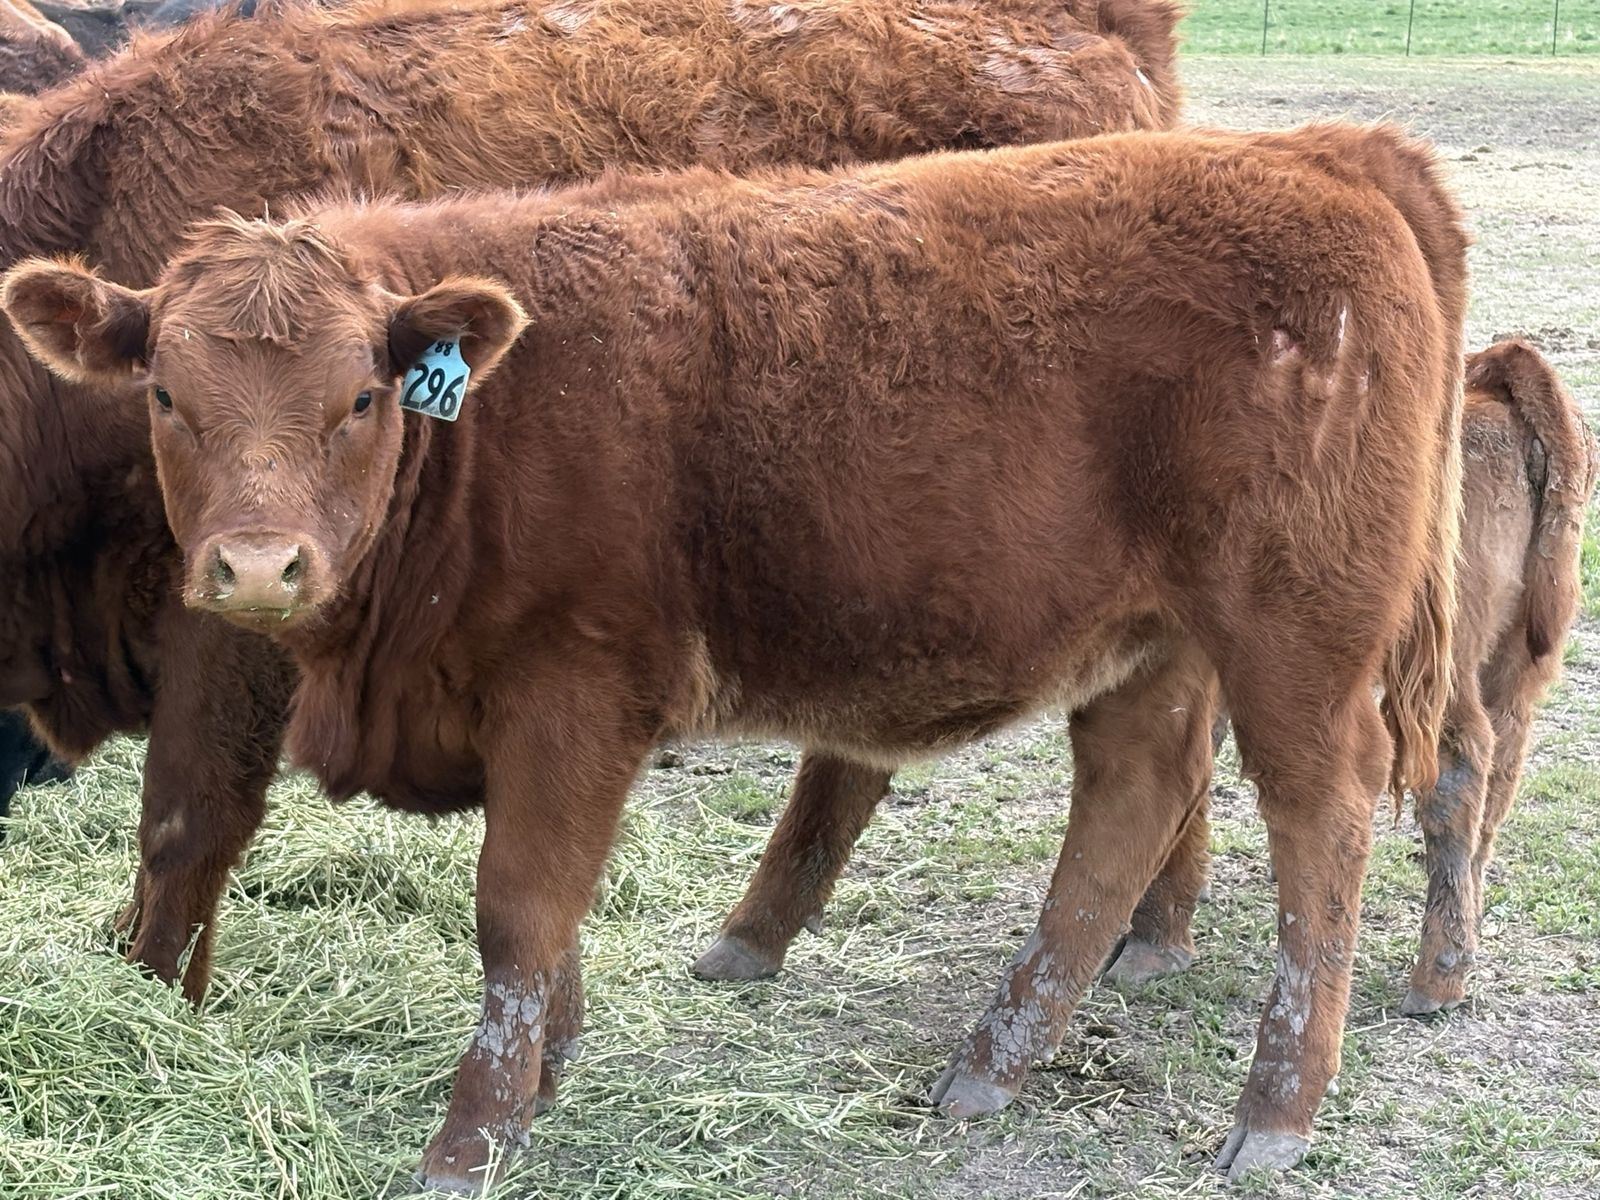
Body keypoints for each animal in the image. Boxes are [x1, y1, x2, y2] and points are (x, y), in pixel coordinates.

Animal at [4, 122, 1465, 1186]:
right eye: (164, 394)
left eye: (361, 397)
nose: (257, 568)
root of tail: (1320, 150)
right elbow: (548, 927)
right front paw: (548, 1072)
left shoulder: (575, 690)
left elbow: (518, 909)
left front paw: (472, 1138)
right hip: (1151, 641)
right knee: (1133, 799)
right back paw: (995, 1061)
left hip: (1298, 633)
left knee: (1319, 824)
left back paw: (1274, 1110)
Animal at [1103, 338, 1600, 1012]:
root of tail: (1499, 374)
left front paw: (1150, 944)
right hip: (1517, 663)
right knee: (1502, 762)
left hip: (1437, 662)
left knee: (1458, 765)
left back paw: (1435, 979)